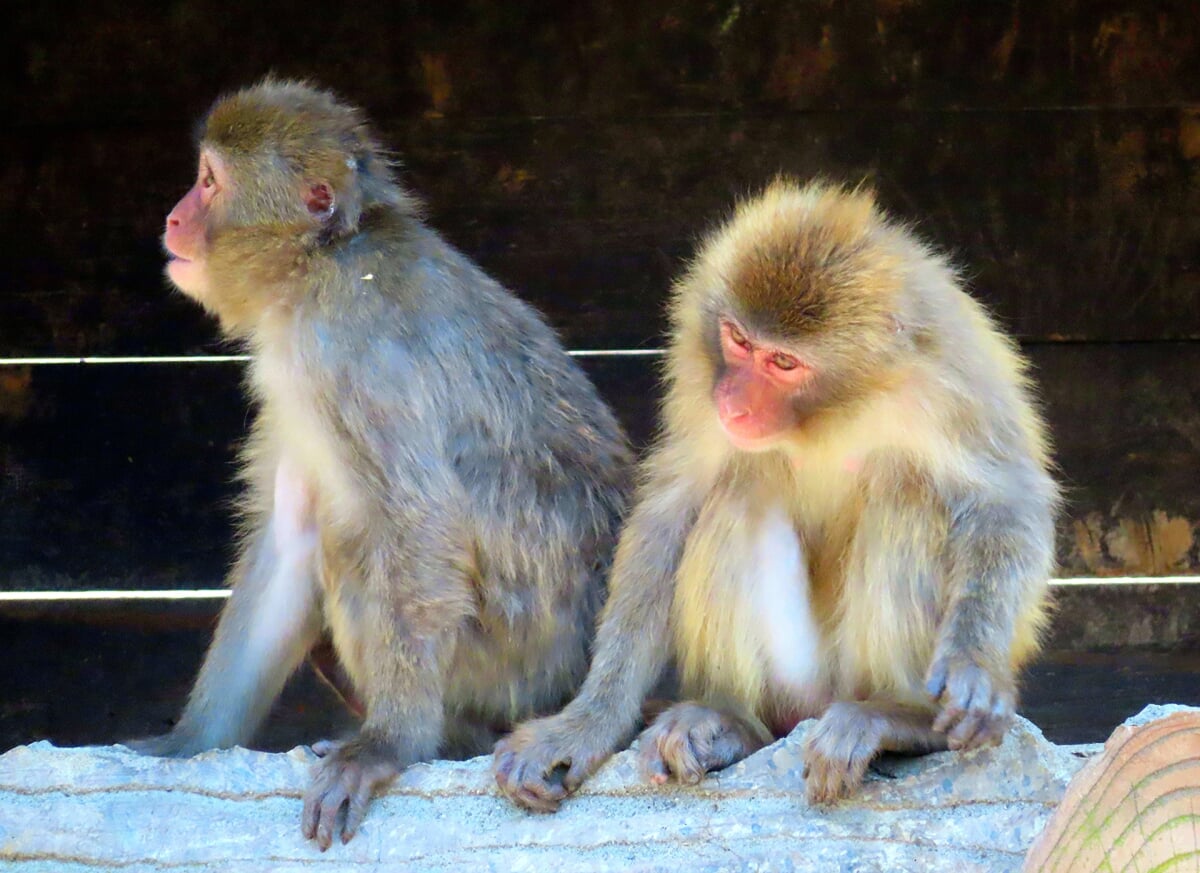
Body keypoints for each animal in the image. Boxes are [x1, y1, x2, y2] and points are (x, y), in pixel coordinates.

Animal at [131, 80, 633, 844]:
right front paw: (186, 744)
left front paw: (388, 744)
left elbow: (419, 524)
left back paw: (442, 736)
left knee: (364, 549)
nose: (174, 216)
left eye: (209, 182)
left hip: (516, 667)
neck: (323, 259)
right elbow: (290, 537)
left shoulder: (345, 350)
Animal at [496, 181, 1060, 815]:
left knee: (906, 489)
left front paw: (973, 664)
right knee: (741, 490)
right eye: (739, 341)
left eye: (784, 362)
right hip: (793, 683)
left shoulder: (951, 380)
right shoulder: (700, 364)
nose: (735, 403)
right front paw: (587, 723)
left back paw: (898, 717)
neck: (836, 405)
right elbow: (674, 507)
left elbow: (1005, 502)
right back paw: (730, 723)